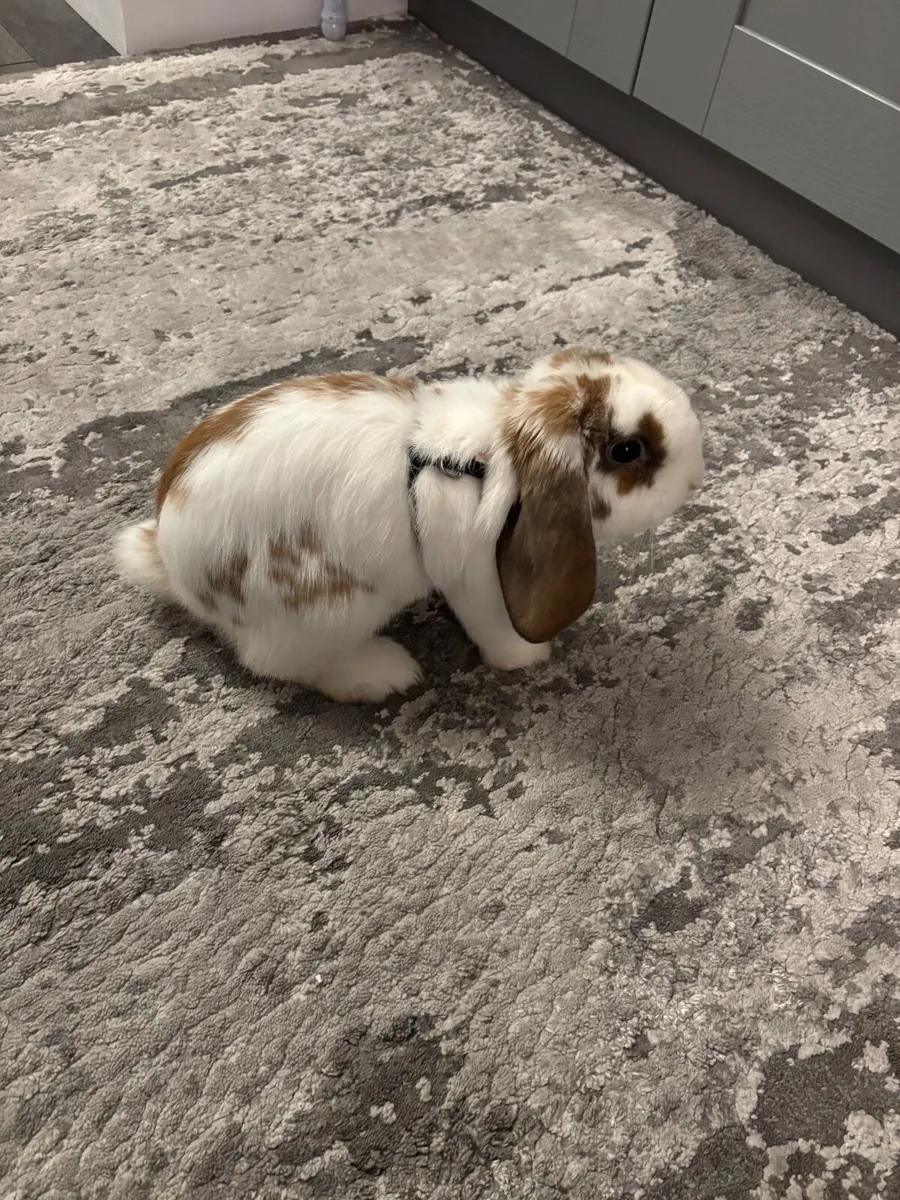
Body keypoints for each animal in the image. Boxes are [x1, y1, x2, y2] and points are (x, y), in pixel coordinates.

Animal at [115, 348, 704, 702]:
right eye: (626, 450)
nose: (697, 477)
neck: (496, 461)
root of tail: (174, 566)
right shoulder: (475, 577)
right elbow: (492, 625)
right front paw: (528, 657)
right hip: (325, 613)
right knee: (282, 665)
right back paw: (384, 672)